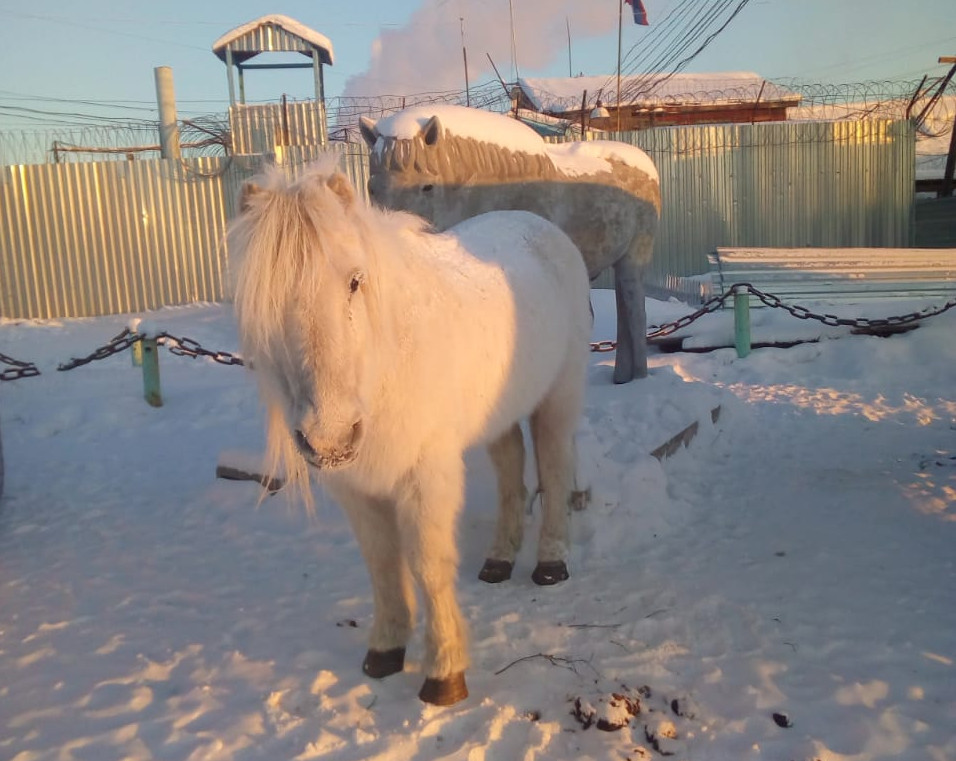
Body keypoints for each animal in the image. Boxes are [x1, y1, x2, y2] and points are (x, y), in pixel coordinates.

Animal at [230, 156, 592, 708]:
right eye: (264, 302)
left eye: (354, 281)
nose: (331, 436)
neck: (381, 369)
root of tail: (542, 227)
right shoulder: (356, 488)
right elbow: (382, 564)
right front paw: (385, 651)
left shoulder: (425, 478)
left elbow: (426, 564)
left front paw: (444, 674)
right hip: (501, 414)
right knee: (512, 469)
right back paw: (499, 559)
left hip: (559, 397)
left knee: (553, 467)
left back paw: (550, 562)